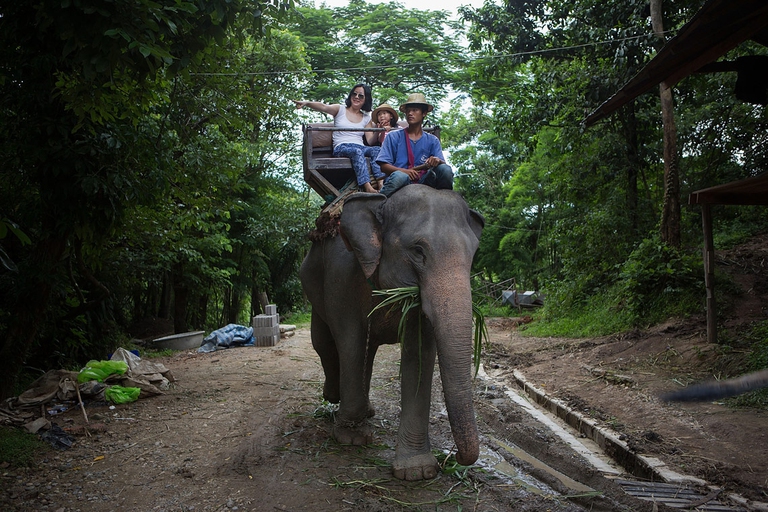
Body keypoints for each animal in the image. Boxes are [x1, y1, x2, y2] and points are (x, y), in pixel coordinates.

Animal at [299, 185, 484, 481]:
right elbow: (350, 339)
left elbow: (419, 354)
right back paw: (335, 398)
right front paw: (351, 438)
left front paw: (417, 471)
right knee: (324, 342)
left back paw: (366, 410)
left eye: (473, 253)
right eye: (418, 251)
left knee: (367, 352)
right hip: (312, 281)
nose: (454, 457)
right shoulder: (342, 272)